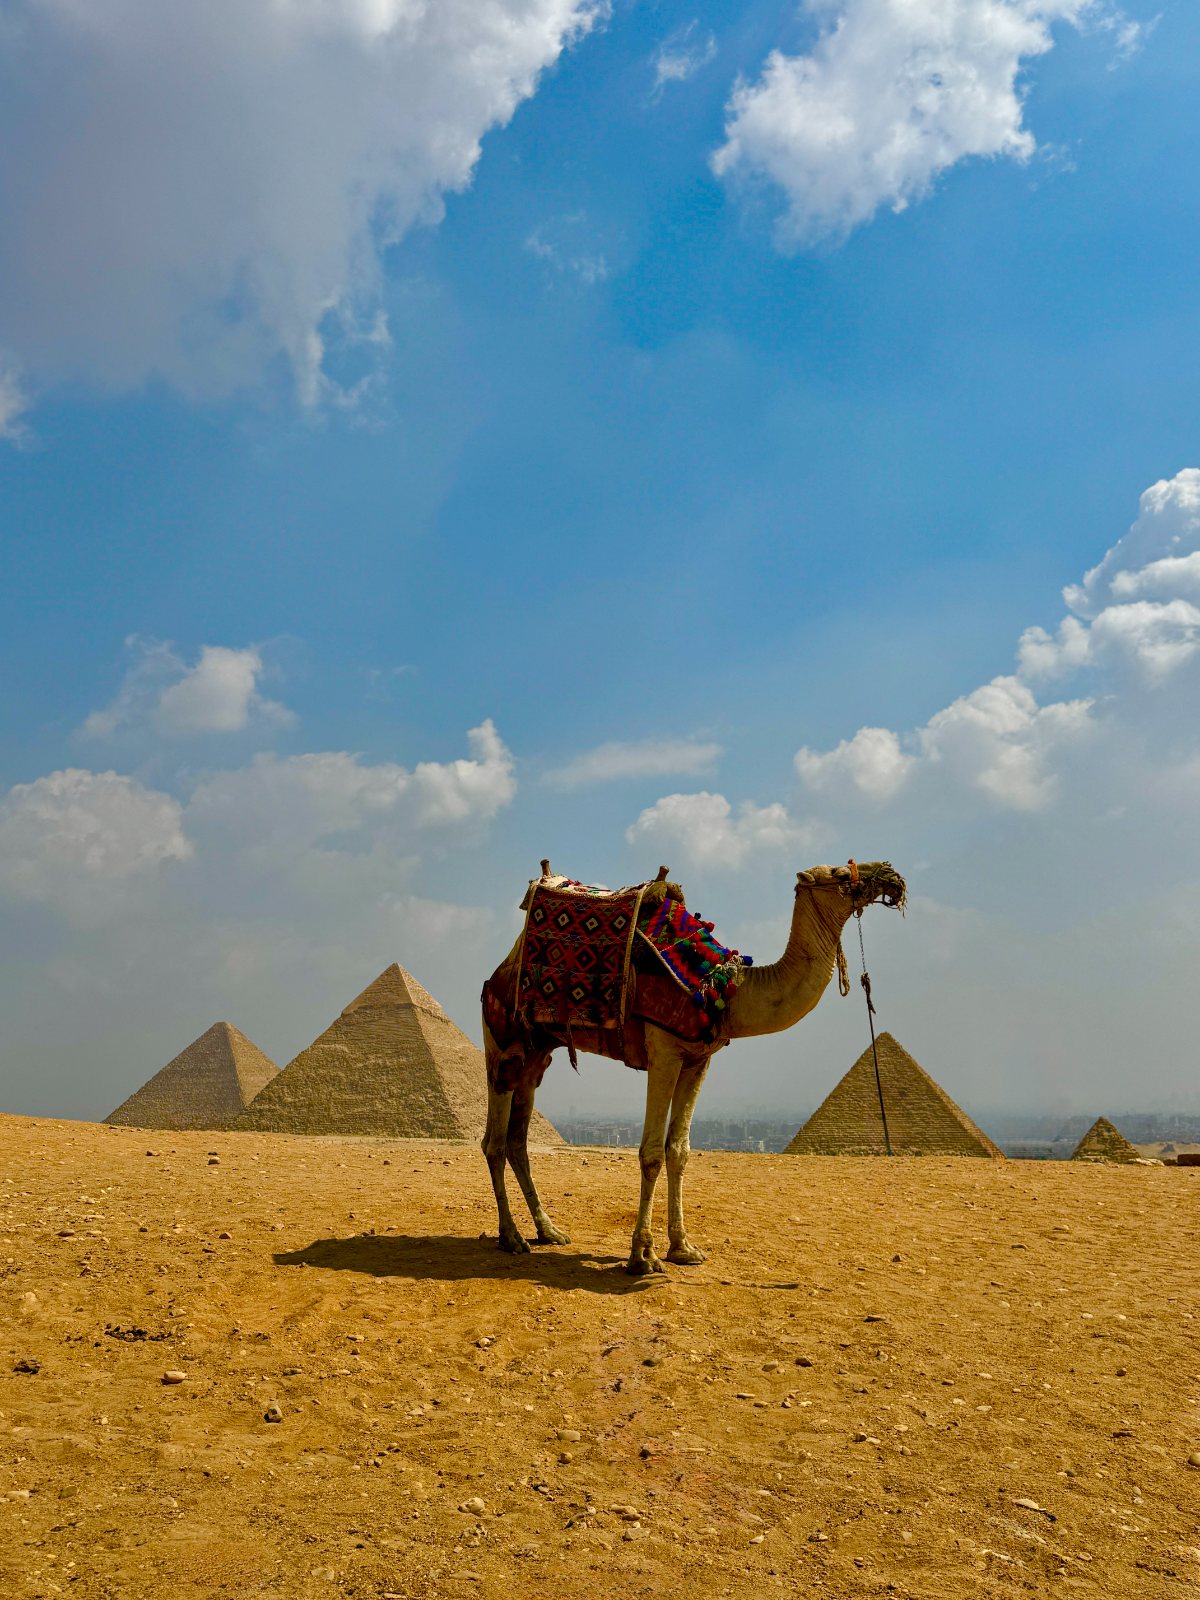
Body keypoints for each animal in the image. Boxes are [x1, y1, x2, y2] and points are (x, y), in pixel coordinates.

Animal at [481, 860, 906, 1274]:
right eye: (839, 874)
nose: (890, 874)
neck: (723, 989)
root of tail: (499, 970)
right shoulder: (664, 1050)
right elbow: (652, 1152)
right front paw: (643, 1256)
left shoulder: (699, 1060)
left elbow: (679, 1151)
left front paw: (683, 1247)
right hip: (500, 1040)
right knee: (495, 1142)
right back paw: (512, 1237)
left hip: (536, 1054)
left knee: (518, 1138)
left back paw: (548, 1230)